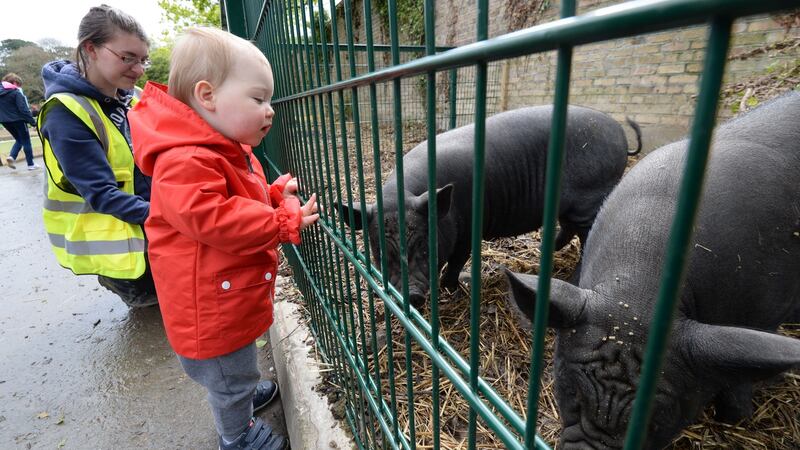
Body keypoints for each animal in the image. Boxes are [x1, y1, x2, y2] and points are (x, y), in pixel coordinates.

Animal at [340, 104, 640, 306]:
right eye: (378, 252)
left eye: (425, 246)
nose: (411, 296)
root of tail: (621, 135)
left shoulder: (467, 229)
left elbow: (458, 261)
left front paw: (451, 289)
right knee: (568, 229)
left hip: (588, 201)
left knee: (588, 238)